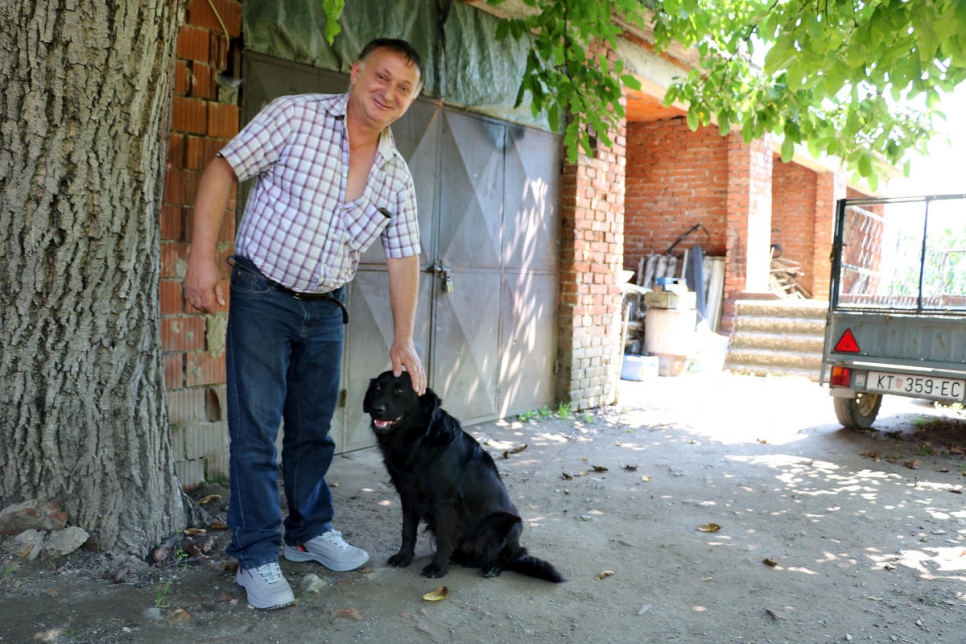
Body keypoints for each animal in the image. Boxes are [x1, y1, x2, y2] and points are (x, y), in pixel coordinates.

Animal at [364, 370, 564, 580]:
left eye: (400, 390)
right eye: (377, 388)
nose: (376, 409)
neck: (418, 441)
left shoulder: (445, 502)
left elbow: (444, 538)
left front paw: (438, 568)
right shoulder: (407, 495)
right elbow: (407, 531)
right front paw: (404, 557)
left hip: (508, 525)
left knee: (508, 557)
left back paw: (491, 567)